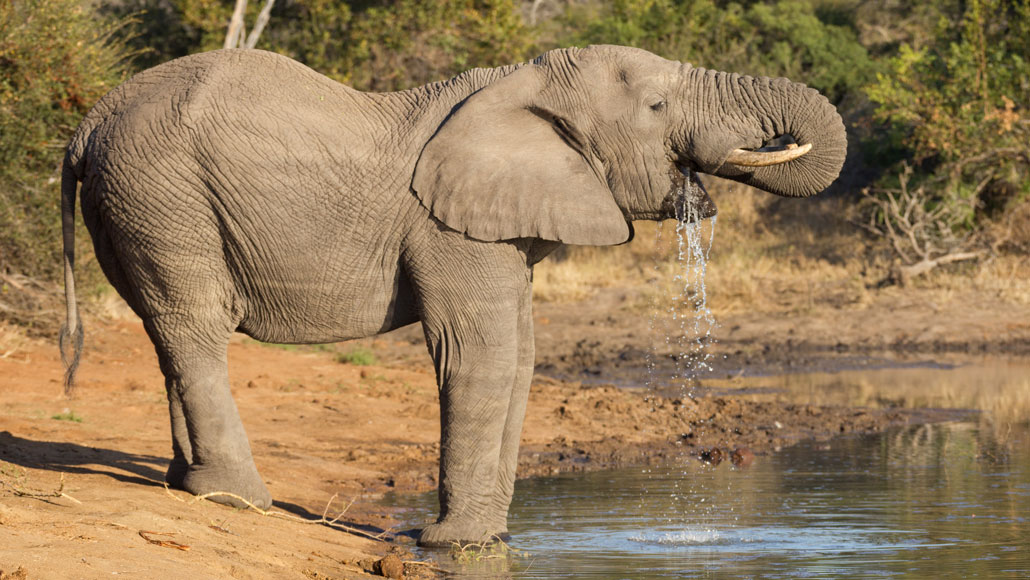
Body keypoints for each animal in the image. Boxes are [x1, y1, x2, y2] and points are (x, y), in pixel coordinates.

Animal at [58, 44, 844, 543]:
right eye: (656, 105)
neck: (520, 85)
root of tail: (88, 123)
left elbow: (521, 358)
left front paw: (488, 540)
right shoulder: (449, 229)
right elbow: (479, 355)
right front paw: (451, 544)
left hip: (133, 201)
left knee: (166, 330)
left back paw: (184, 485)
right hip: (163, 192)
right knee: (195, 326)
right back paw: (238, 500)